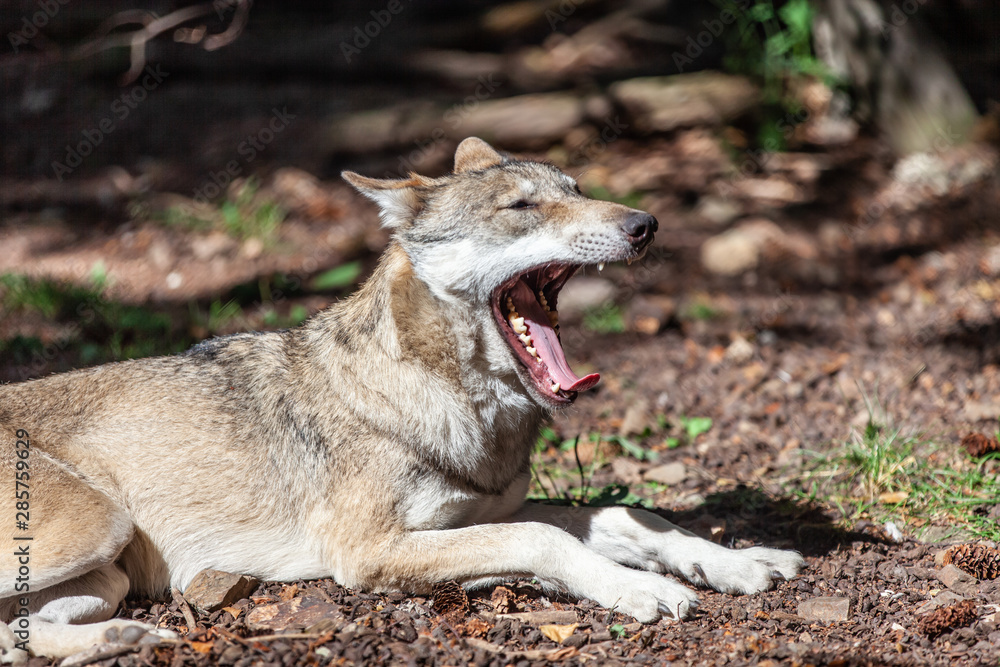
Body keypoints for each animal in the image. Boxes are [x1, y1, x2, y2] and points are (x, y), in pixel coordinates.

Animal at [0, 138, 803, 659]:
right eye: (522, 206)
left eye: (577, 190)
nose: (645, 225)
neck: (455, 400)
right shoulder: (367, 553)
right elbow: (545, 539)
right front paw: (638, 590)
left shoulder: (479, 513)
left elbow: (624, 514)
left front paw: (737, 560)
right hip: (100, 526)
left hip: (101, 576)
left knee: (17, 637)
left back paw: (126, 636)